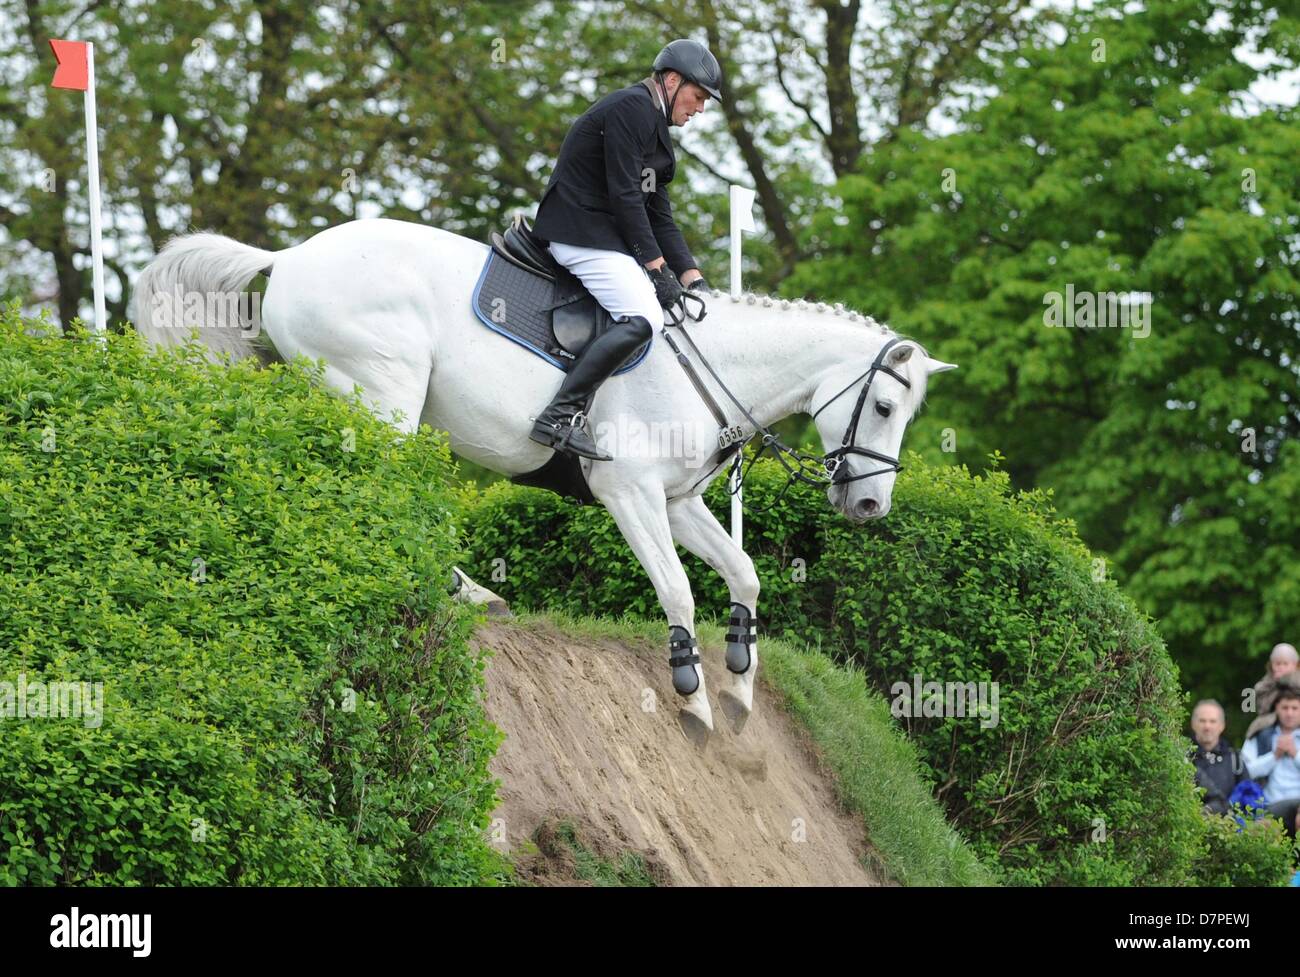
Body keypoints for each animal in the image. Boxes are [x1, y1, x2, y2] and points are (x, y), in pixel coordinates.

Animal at [131, 219, 956, 737]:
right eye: (885, 406)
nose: (871, 504)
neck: (713, 366)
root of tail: (292, 253)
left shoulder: (679, 502)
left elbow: (744, 572)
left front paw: (741, 678)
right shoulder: (629, 494)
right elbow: (677, 588)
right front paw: (691, 693)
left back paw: (465, 590)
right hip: (383, 392)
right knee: (387, 491)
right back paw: (457, 589)